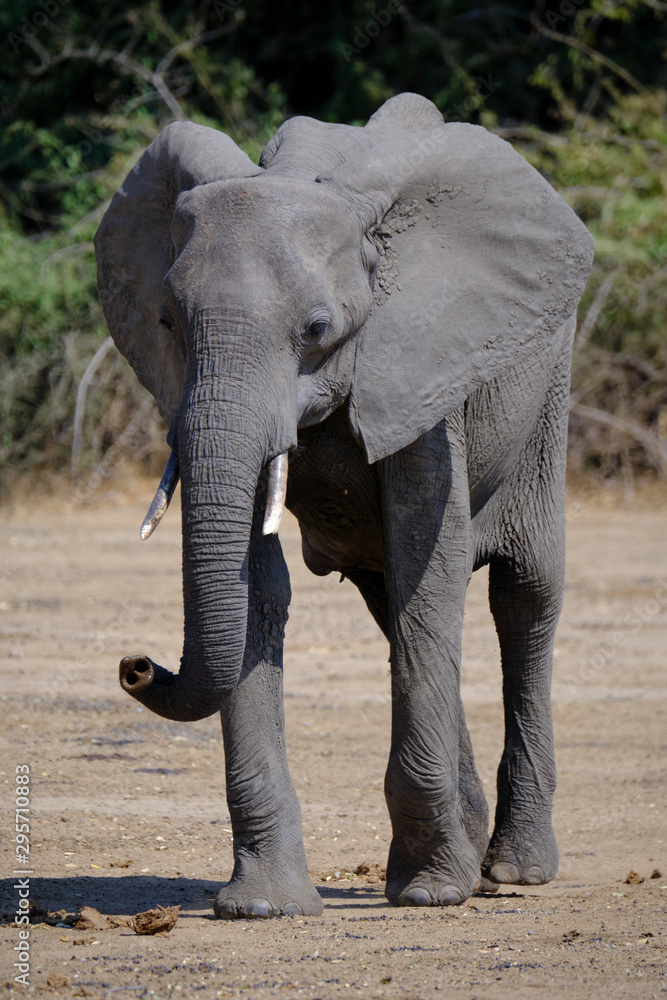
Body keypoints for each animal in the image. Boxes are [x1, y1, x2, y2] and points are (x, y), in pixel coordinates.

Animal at [94, 92, 594, 919]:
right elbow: (261, 588)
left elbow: (431, 565)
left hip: (548, 377)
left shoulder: (423, 366)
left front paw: (431, 895)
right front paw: (262, 907)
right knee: (390, 605)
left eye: (317, 329)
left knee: (523, 593)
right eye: (167, 321)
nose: (136, 665)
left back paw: (511, 872)